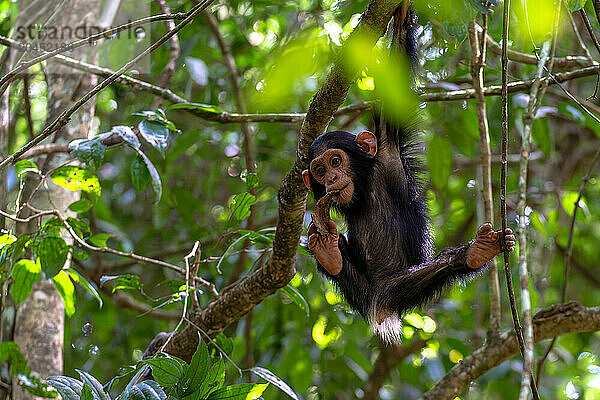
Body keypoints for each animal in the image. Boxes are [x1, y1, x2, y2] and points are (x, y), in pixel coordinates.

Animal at [302, 4, 512, 340]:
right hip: (364, 296)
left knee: (421, 276)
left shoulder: (388, 151)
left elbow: (398, 57)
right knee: (352, 279)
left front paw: (400, 13)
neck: (364, 187)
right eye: (320, 170)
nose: (332, 178)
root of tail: (380, 307)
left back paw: (474, 253)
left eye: (335, 162)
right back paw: (329, 253)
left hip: (395, 290)